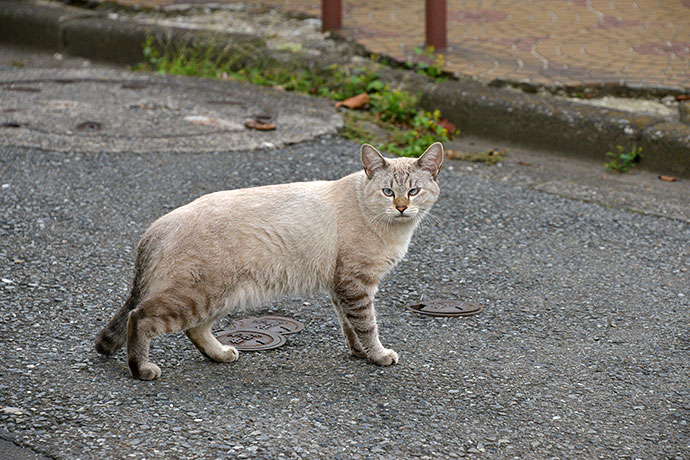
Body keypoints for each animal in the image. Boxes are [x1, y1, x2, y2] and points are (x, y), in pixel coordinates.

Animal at [94, 142, 444, 380]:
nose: (401, 207)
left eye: (414, 191)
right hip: (199, 296)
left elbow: (349, 326)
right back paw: (142, 369)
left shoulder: (341, 288)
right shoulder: (357, 285)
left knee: (194, 330)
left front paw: (358, 353)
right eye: (388, 192)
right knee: (140, 317)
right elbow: (368, 326)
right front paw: (378, 356)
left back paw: (221, 355)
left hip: (219, 297)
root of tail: (156, 226)